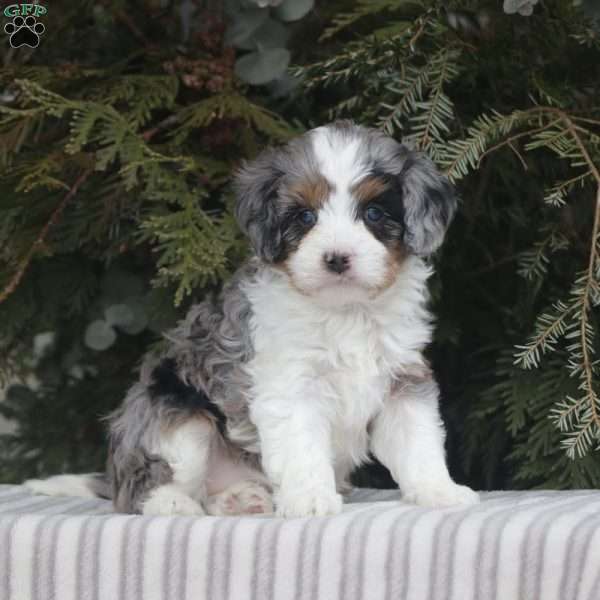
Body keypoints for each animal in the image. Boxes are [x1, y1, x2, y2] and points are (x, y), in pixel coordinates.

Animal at [25, 120, 478, 516]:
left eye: (374, 214)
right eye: (304, 217)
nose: (336, 259)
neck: (345, 311)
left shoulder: (402, 380)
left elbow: (417, 441)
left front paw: (439, 491)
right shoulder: (290, 386)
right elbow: (302, 448)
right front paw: (311, 500)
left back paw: (242, 500)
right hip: (173, 415)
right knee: (149, 483)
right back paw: (173, 504)